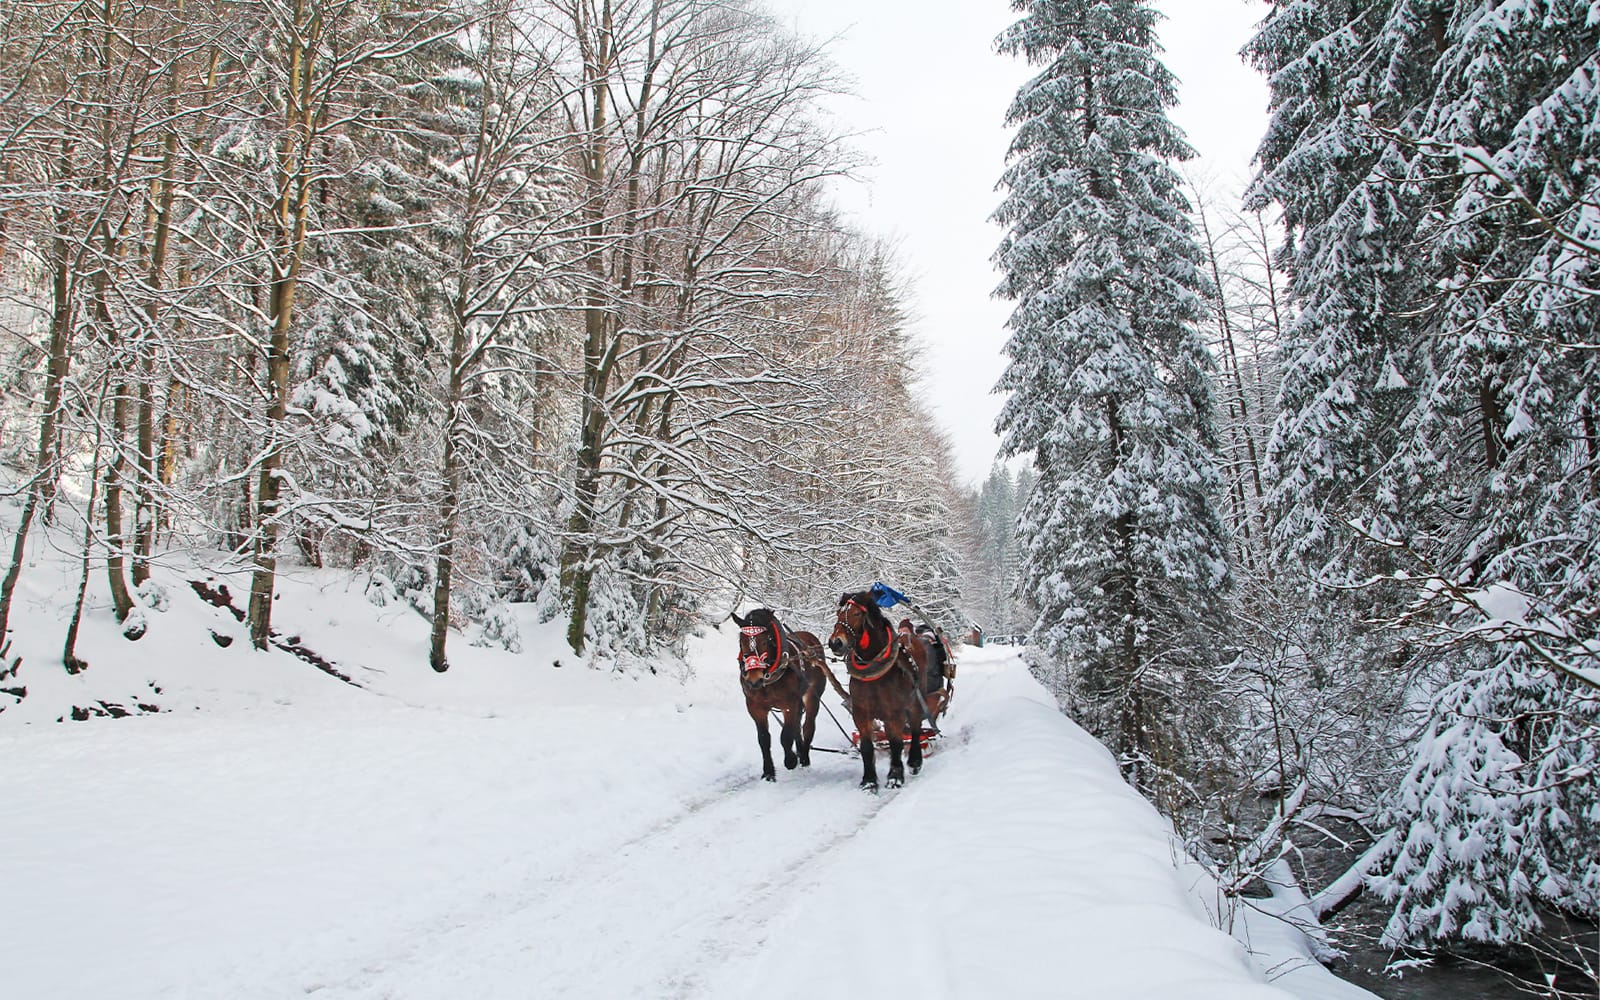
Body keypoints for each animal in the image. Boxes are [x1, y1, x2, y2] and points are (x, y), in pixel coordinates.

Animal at [732, 608, 828, 781]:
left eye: (765, 641)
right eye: (741, 642)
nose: (754, 679)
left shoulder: (789, 704)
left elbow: (786, 735)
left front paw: (790, 760)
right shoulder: (755, 707)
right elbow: (764, 739)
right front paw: (768, 772)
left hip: (811, 696)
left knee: (807, 726)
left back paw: (804, 757)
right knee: (797, 726)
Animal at [828, 592, 927, 792]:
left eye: (857, 614)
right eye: (838, 613)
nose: (835, 643)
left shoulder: (894, 713)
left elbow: (896, 743)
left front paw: (895, 778)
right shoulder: (861, 713)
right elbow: (867, 746)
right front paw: (869, 781)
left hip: (914, 701)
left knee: (915, 728)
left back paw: (914, 761)